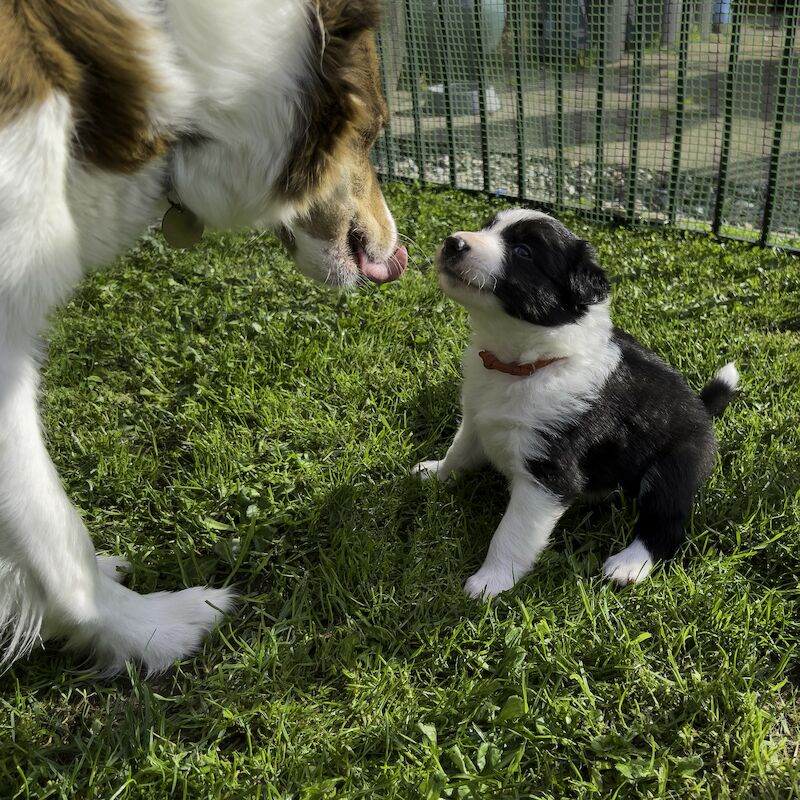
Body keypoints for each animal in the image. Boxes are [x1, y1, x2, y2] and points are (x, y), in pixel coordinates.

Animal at [416, 209, 740, 596]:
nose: (454, 243)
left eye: (524, 252)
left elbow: (512, 533)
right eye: (487, 227)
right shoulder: (477, 418)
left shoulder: (548, 472)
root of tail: (703, 412)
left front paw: (490, 581)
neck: (526, 364)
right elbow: (459, 453)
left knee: (665, 524)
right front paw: (434, 472)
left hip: (674, 468)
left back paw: (629, 565)